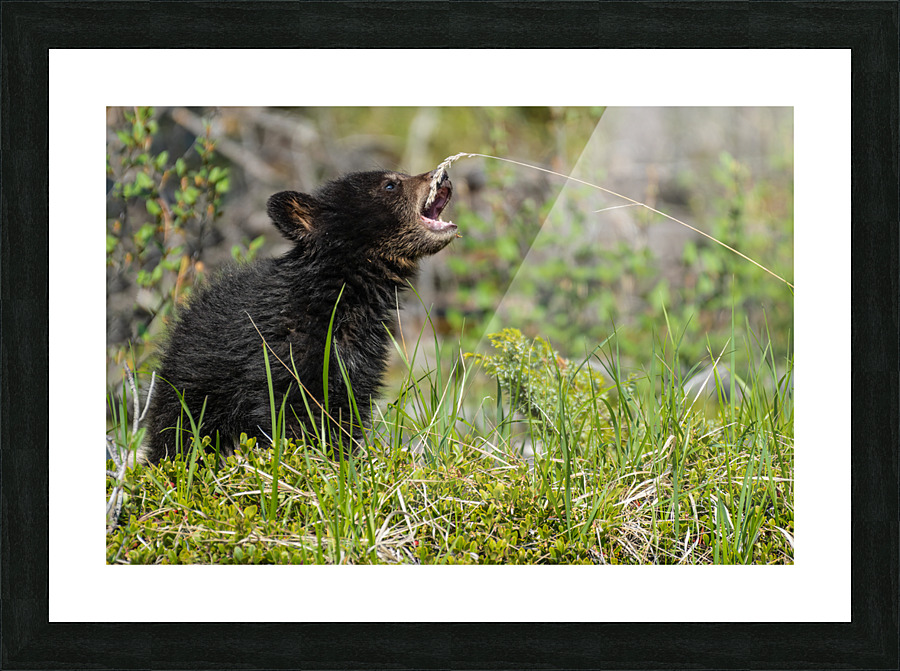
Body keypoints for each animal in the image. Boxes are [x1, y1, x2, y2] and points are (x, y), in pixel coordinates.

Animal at [138, 168, 455, 464]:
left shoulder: (360, 358)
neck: (341, 297)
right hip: (191, 395)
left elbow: (347, 411)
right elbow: (291, 412)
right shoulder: (282, 349)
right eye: (390, 184)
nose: (442, 176)